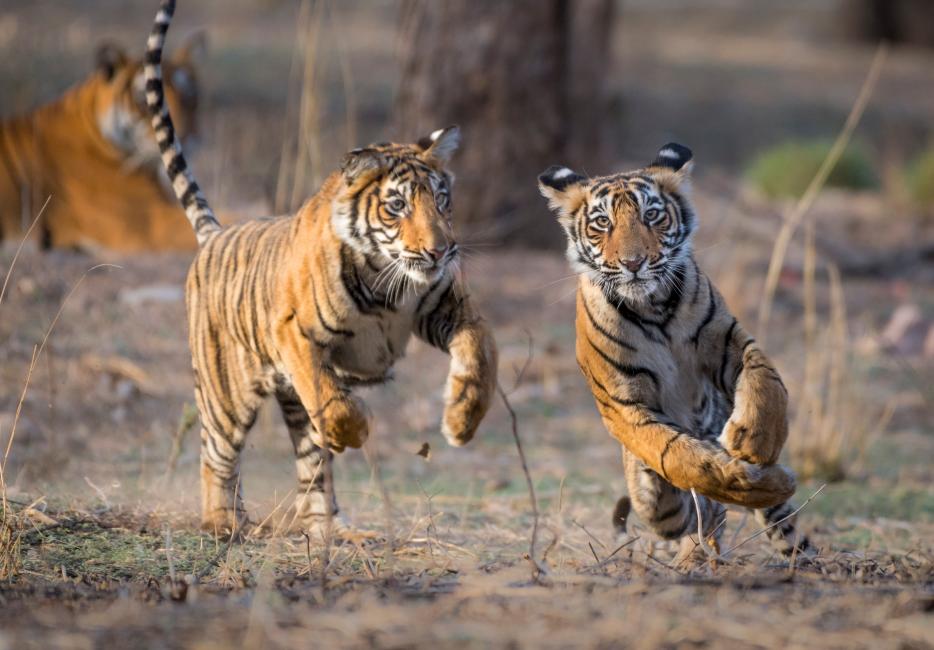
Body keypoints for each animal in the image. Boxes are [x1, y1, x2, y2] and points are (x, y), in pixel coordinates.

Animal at [144, 1, 498, 536]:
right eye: (397, 206)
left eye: (441, 200)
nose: (441, 251)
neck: (388, 280)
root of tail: (215, 234)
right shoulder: (296, 332)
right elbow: (331, 400)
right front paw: (359, 424)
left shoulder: (448, 306)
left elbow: (481, 351)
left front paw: (462, 417)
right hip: (225, 393)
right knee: (218, 455)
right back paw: (225, 522)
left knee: (310, 470)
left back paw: (332, 530)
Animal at [536, 144, 816, 560]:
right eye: (602, 223)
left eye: (651, 215)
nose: (633, 263)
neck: (653, 309)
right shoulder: (624, 404)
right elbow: (677, 455)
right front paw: (739, 478)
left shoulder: (728, 340)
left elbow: (766, 379)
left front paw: (755, 441)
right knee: (672, 508)